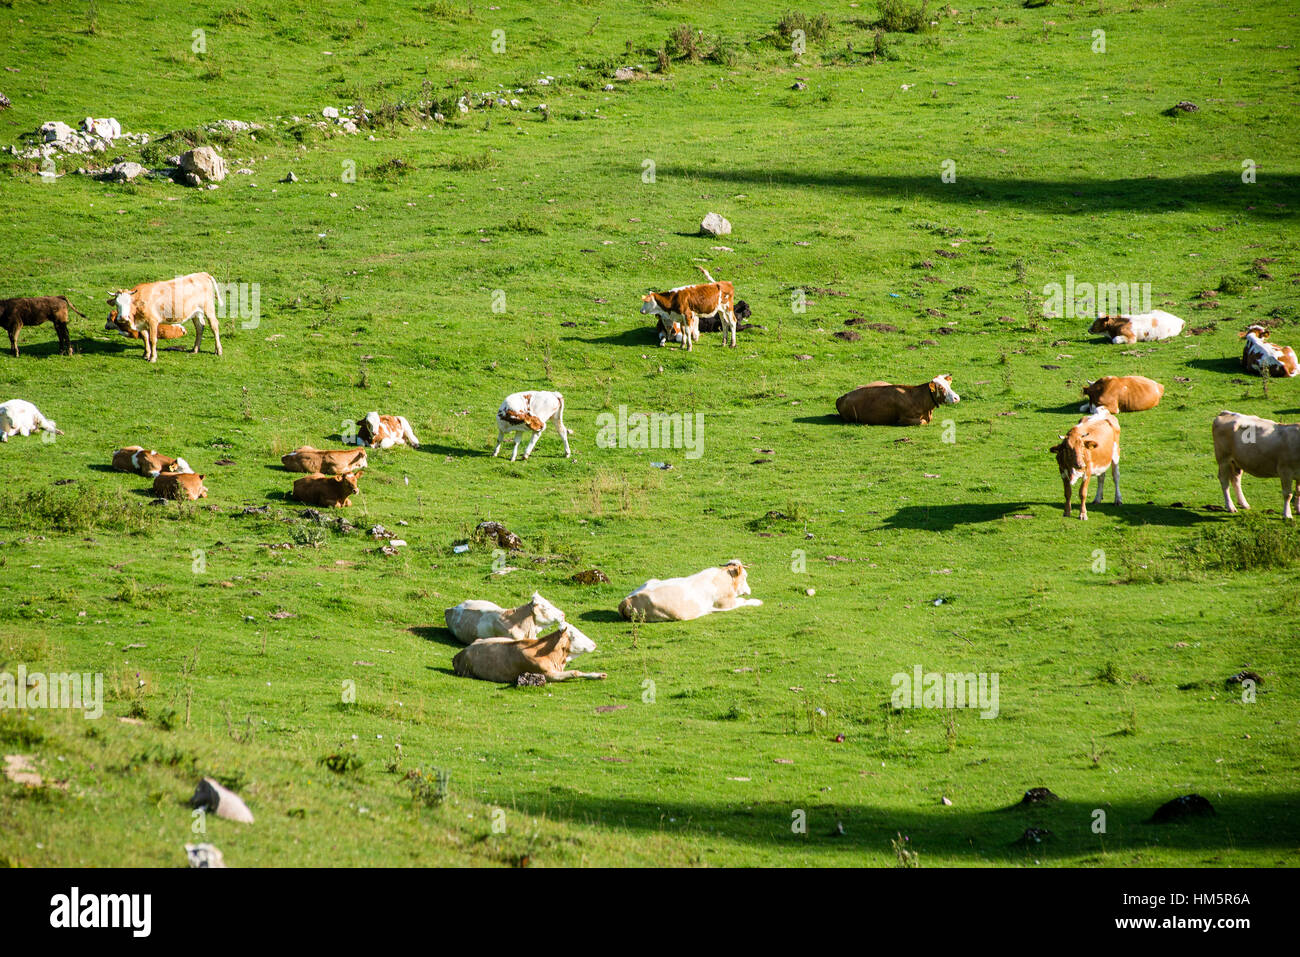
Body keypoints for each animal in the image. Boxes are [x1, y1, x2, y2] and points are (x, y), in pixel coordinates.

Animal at [451, 624, 604, 684]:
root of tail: (459, 654)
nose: (594, 644)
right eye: (574, 635)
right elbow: (575, 672)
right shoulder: (547, 675)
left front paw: (598, 675)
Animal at [618, 560, 761, 622]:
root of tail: (627, 600)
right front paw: (758, 602)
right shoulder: (725, 604)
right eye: (745, 576)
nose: (749, 590)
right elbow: (743, 601)